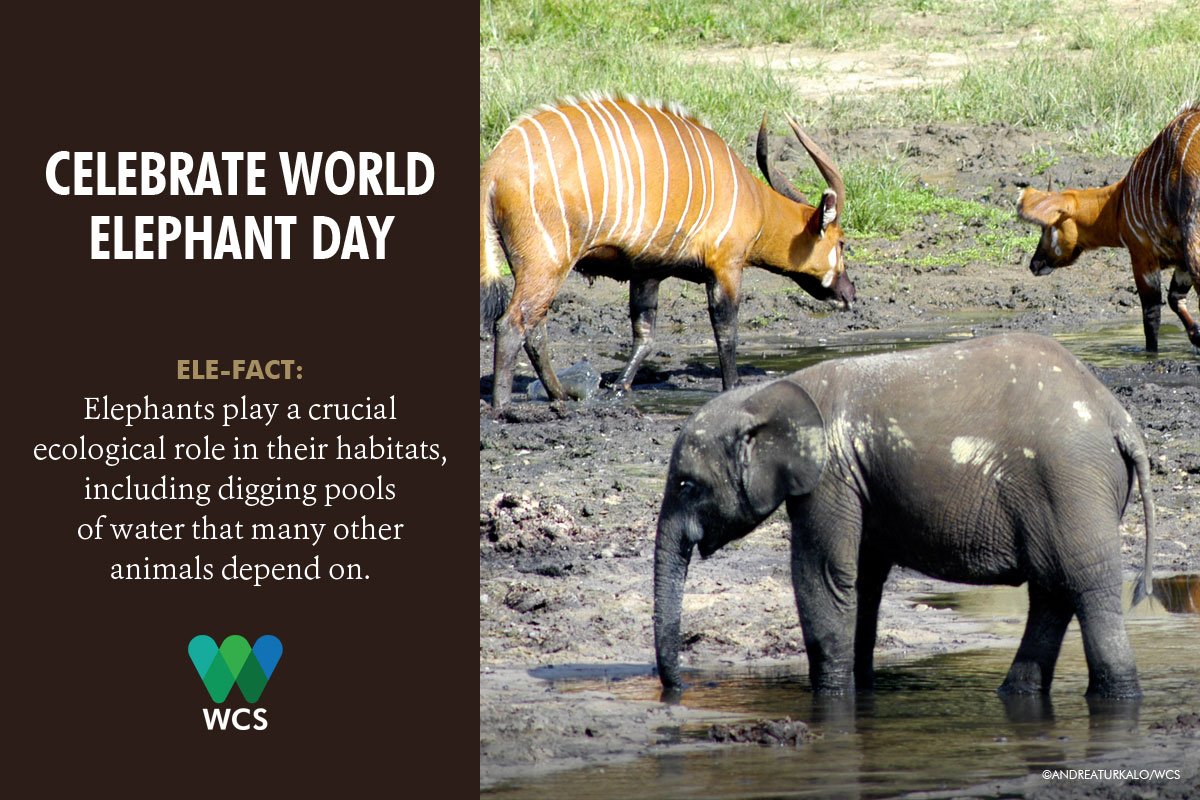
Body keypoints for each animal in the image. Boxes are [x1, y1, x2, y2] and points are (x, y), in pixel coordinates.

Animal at [653, 333, 1155, 699]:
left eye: (687, 485)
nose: (680, 687)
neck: (766, 395)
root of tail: (1116, 416)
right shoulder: (859, 480)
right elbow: (864, 579)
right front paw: (860, 689)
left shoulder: (830, 479)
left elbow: (823, 575)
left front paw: (831, 698)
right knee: (1052, 593)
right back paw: (1015, 695)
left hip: (1071, 483)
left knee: (1088, 589)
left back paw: (1117, 699)